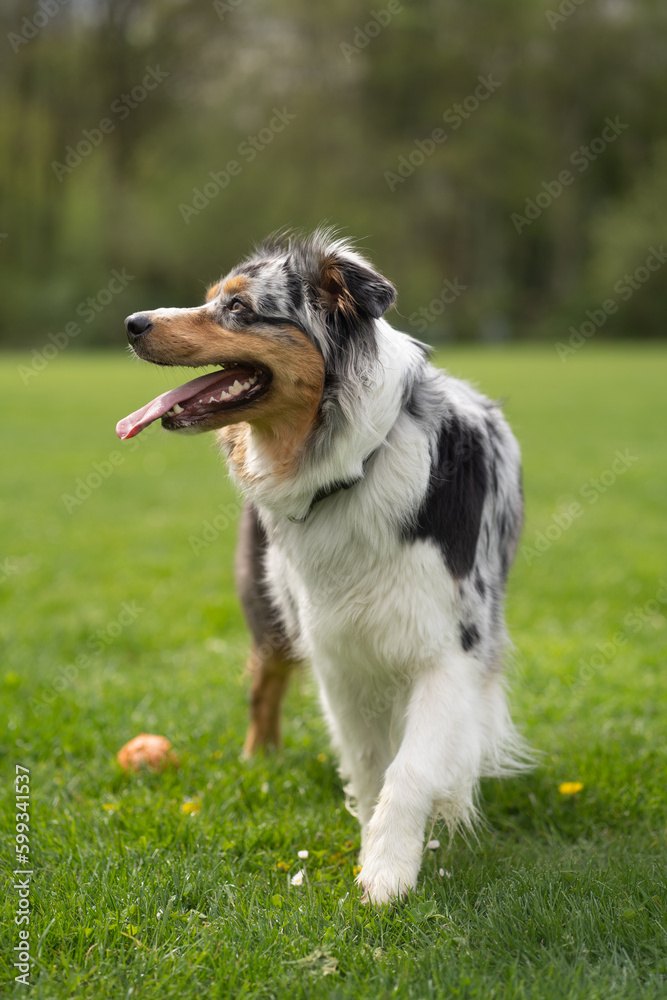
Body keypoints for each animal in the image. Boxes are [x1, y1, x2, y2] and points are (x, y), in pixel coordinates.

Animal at [116, 229, 532, 908]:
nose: (131, 323)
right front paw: (375, 852)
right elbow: (367, 763)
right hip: (272, 612)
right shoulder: (336, 650)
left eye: (239, 307)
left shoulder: (452, 647)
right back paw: (260, 762)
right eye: (211, 298)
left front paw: (388, 873)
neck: (353, 465)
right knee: (263, 685)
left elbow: (411, 765)